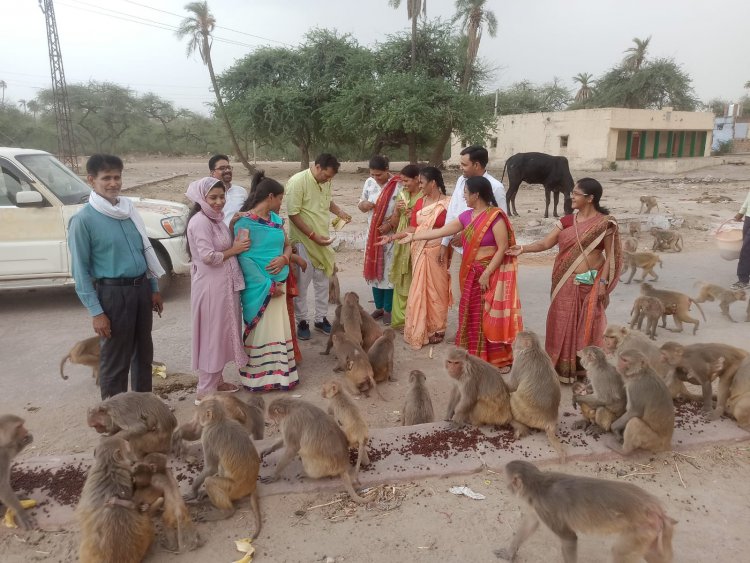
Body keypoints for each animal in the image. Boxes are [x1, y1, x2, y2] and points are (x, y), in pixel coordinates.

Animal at [189, 398, 262, 540]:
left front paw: (193, 491)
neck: (220, 420)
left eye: (199, 414)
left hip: (234, 489)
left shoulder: (207, 435)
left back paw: (227, 512)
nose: (197, 420)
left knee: (210, 481)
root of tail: (251, 484)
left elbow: (211, 468)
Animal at [496, 462, 680, 563]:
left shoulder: (544, 508)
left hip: (641, 528)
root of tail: (654, 508)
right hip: (650, 531)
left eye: (507, 481)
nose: (506, 487)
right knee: (653, 554)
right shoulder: (537, 508)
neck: (537, 485)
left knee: (619, 553)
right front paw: (510, 552)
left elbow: (569, 538)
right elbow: (531, 524)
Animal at [508, 332, 568, 460]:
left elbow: (513, 385)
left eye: (516, 339)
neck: (533, 349)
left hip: (525, 413)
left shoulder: (519, 361)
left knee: (513, 397)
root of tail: (550, 421)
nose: (512, 343)